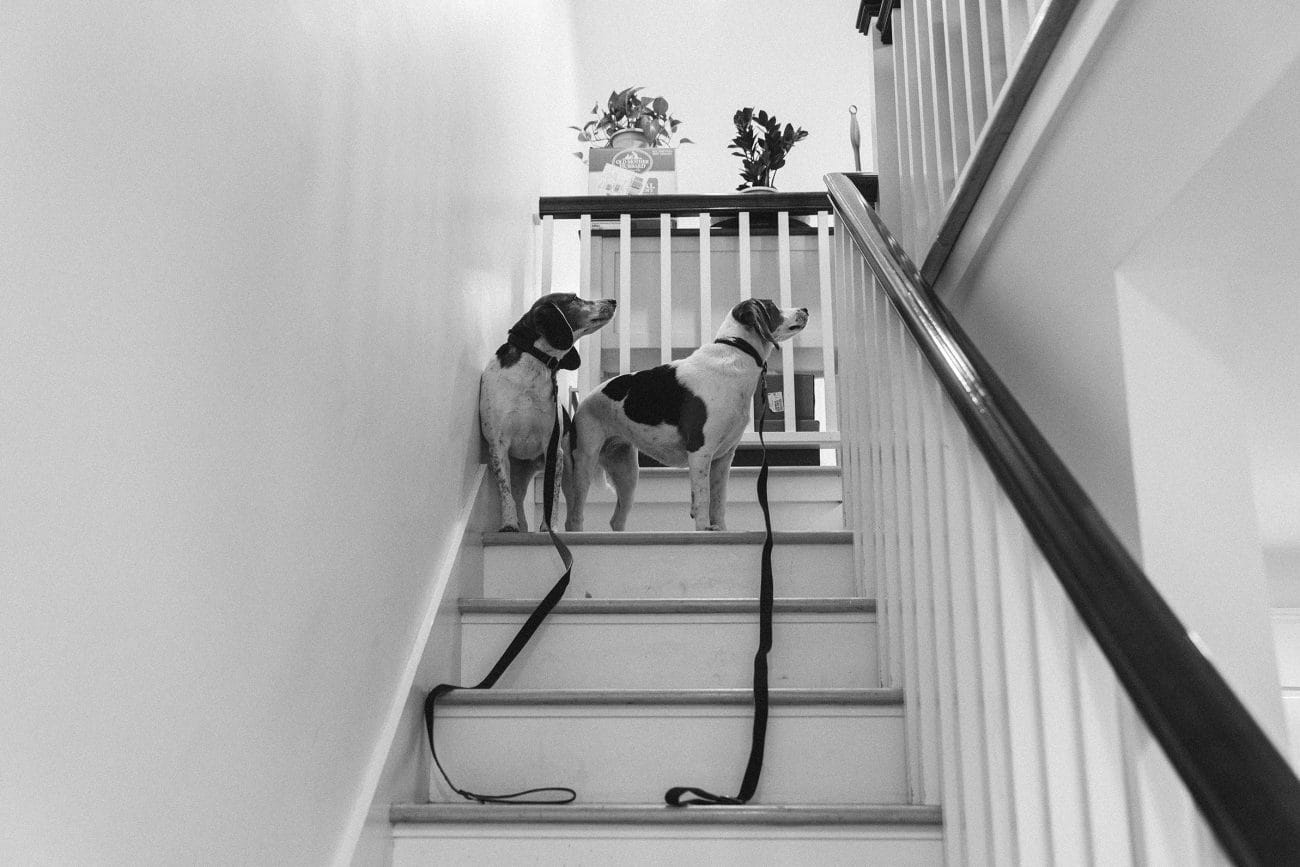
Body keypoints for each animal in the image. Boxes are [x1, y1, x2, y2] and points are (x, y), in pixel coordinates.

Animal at [480, 295, 616, 532]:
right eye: (574, 299)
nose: (613, 300)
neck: (532, 366)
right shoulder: (498, 446)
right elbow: (505, 493)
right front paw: (509, 524)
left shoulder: (553, 449)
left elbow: (551, 497)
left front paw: (549, 527)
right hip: (519, 474)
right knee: (517, 498)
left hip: (571, 471)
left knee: (574, 511)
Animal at [566, 298, 800, 532]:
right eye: (772, 306)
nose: (804, 309)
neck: (737, 351)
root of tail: (585, 400)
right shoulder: (700, 451)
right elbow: (703, 500)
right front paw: (704, 530)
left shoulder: (723, 458)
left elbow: (718, 502)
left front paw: (721, 530)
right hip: (585, 463)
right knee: (574, 518)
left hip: (627, 472)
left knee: (617, 520)